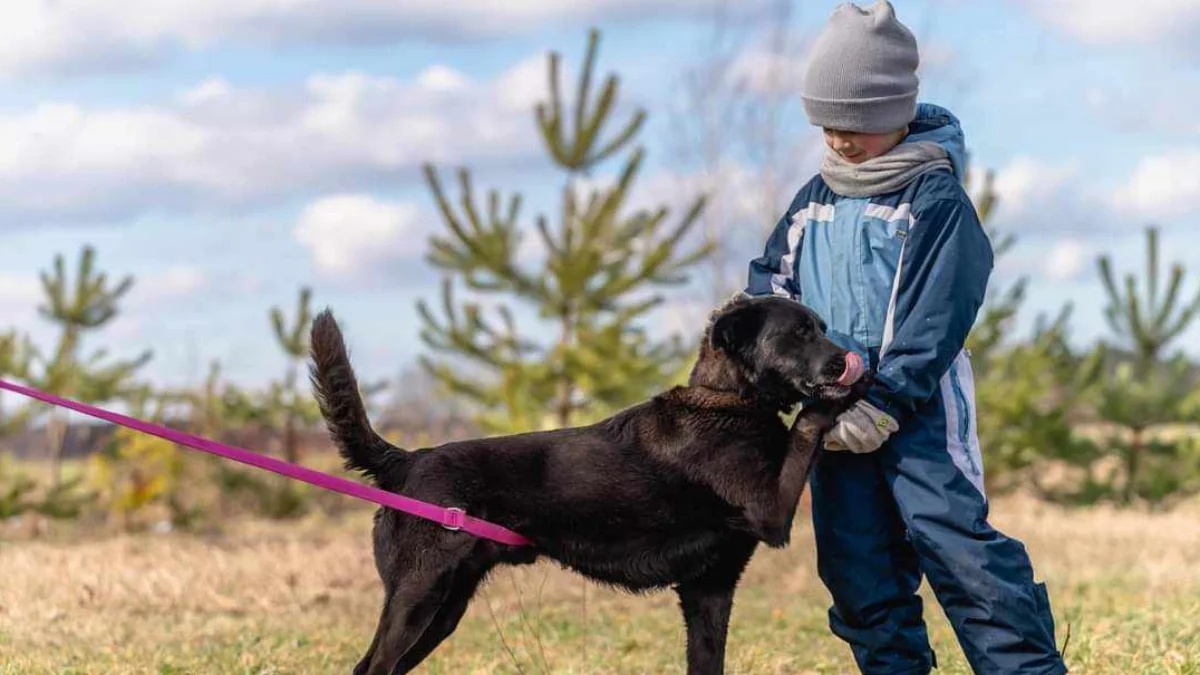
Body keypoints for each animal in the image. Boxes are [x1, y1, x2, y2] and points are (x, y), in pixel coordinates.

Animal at [309, 294, 873, 672]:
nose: (845, 359)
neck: (728, 403)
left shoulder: (709, 591)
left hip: (443, 609)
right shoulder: (773, 510)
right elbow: (809, 419)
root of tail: (408, 461)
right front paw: (853, 389)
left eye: (821, 328)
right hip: (418, 597)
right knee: (372, 668)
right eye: (799, 333)